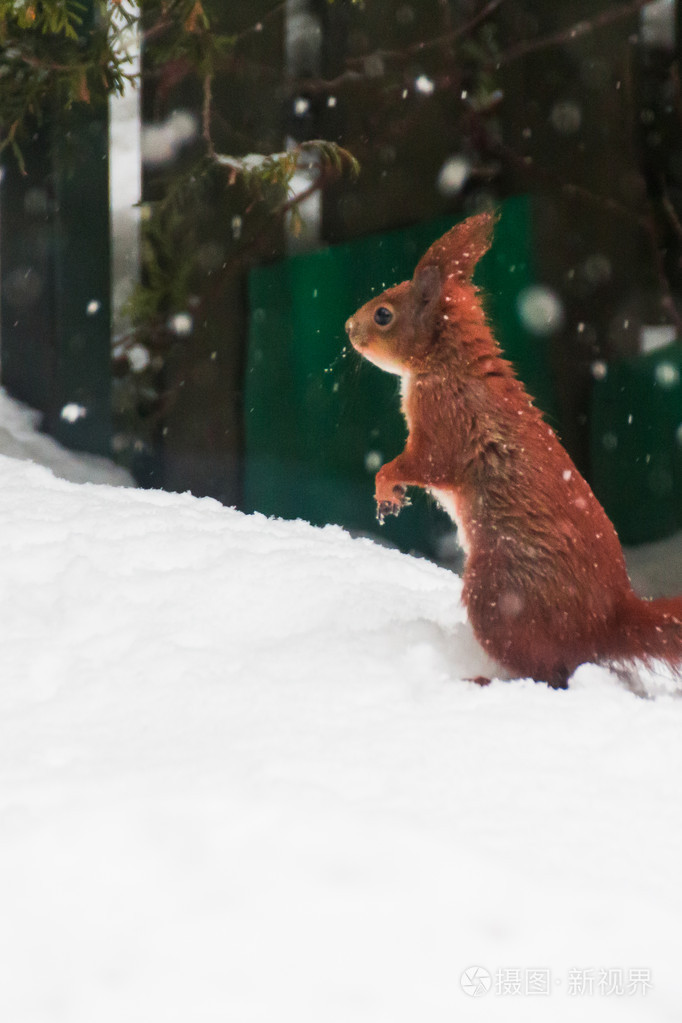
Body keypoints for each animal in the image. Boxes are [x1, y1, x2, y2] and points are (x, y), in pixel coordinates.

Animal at [347, 208, 682, 691]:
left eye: (383, 314)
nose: (348, 329)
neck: (448, 363)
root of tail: (605, 623)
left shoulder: (446, 424)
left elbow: (422, 465)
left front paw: (385, 487)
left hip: (498, 595)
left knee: (548, 673)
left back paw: (485, 681)